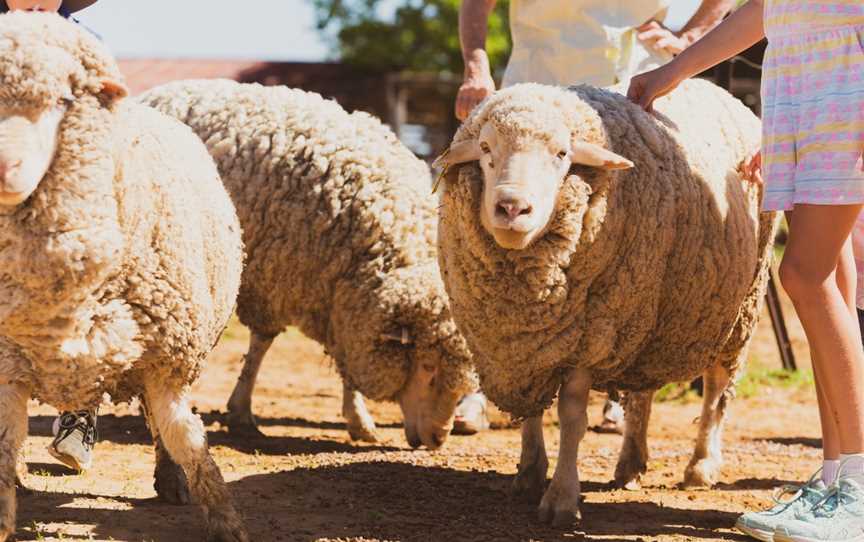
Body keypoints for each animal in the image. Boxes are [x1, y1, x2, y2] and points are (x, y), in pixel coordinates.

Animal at [0, 13, 248, 542]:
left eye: (64, 100)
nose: (6, 168)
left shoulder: (169, 357)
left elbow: (186, 436)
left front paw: (224, 518)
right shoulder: (9, 362)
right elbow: (4, 448)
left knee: (160, 425)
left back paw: (170, 480)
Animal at [142, 77, 480, 450]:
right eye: (427, 366)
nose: (439, 437)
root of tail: (164, 89)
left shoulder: (340, 298)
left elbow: (344, 361)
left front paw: (358, 419)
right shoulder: (275, 278)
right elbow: (260, 346)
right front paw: (241, 412)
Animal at [436, 79, 780, 528]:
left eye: (562, 154)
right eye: (486, 148)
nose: (511, 207)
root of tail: (717, 88)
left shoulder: (591, 334)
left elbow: (571, 418)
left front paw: (562, 498)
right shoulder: (527, 345)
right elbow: (533, 411)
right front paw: (529, 472)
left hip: (737, 307)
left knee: (716, 389)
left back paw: (701, 465)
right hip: (647, 313)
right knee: (643, 393)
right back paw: (631, 462)